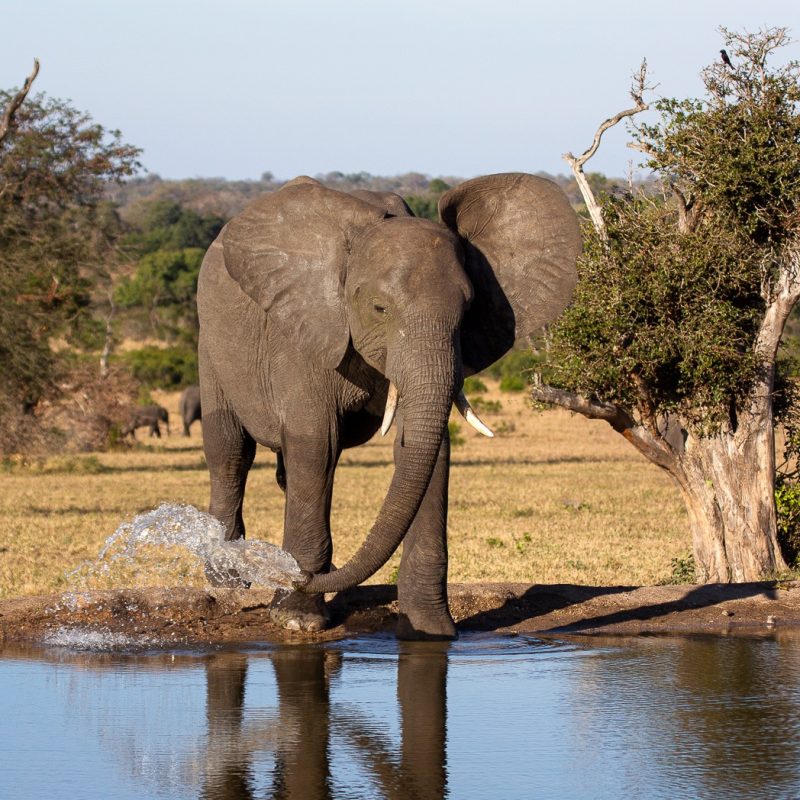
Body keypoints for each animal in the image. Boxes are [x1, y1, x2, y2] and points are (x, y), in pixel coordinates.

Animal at [197, 172, 580, 639]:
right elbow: (315, 443)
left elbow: (423, 450)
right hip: (210, 342)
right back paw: (227, 582)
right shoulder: (304, 332)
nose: (294, 574)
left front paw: (429, 631)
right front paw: (298, 620)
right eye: (379, 308)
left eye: (469, 310)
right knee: (230, 453)